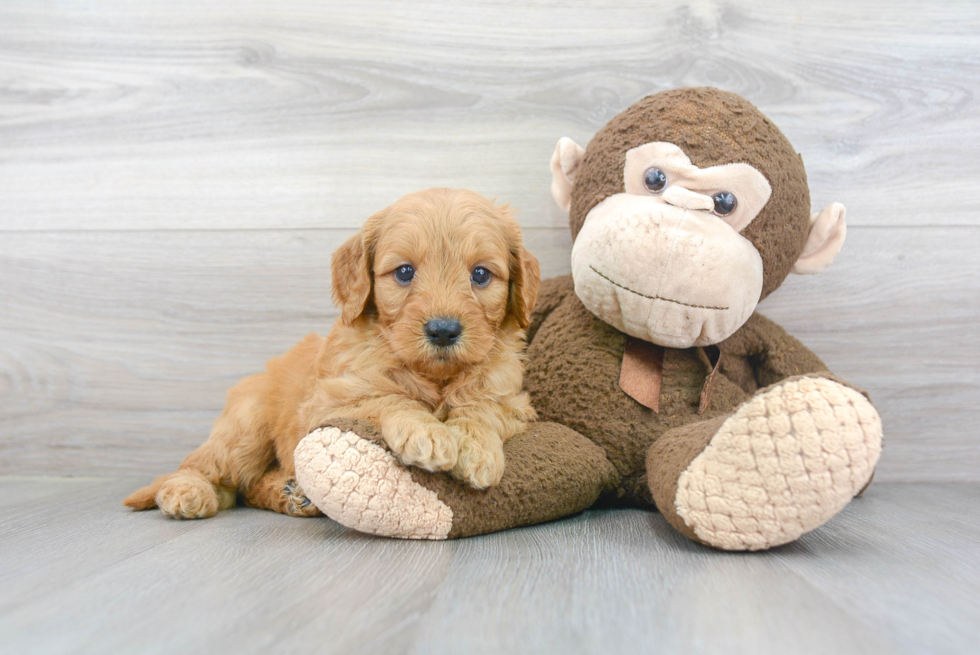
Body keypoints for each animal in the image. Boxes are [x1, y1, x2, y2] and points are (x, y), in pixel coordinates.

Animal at [122, 188, 544, 516]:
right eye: (404, 272)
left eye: (480, 275)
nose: (443, 330)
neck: (433, 376)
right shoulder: (329, 402)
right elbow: (387, 397)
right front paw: (426, 432)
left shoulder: (511, 399)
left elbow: (483, 407)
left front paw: (476, 446)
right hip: (245, 428)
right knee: (209, 470)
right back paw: (187, 492)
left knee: (247, 487)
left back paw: (291, 494)